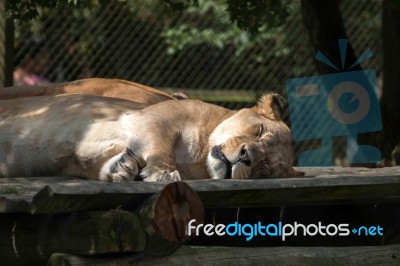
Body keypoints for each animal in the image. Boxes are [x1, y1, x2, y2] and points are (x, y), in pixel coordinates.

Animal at [0, 85, 304, 181]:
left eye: (264, 167)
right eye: (259, 131)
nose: (245, 158)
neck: (198, 159)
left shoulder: (78, 156)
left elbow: (94, 161)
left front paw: (121, 168)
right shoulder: (150, 119)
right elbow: (161, 147)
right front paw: (163, 172)